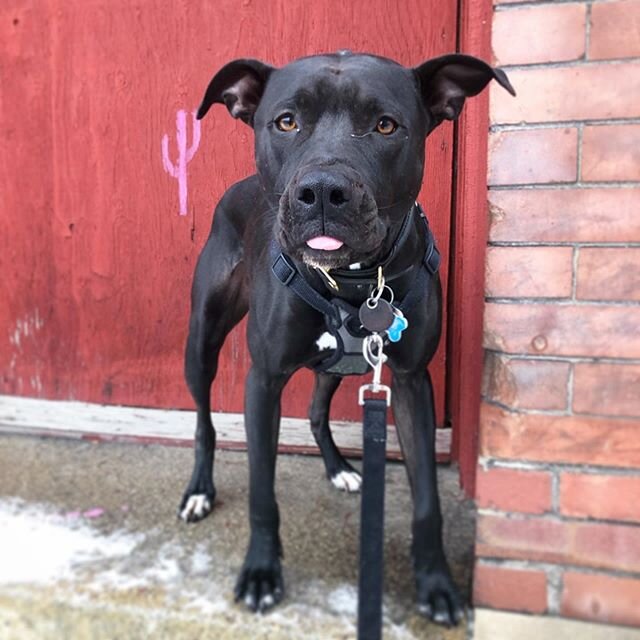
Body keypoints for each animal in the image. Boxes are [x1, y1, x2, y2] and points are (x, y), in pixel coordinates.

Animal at [178, 48, 512, 624]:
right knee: (204, 422)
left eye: (385, 125)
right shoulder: (263, 381)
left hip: (338, 366)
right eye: (286, 121)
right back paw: (200, 490)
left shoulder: (411, 382)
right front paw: (261, 572)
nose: (322, 194)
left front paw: (437, 583)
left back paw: (338, 469)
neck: (355, 282)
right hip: (202, 341)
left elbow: (428, 498)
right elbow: (262, 492)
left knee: (316, 410)